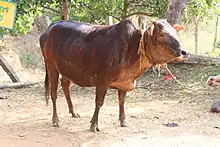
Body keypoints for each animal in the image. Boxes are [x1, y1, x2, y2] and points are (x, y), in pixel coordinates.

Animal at [40, 18, 188, 132]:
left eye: (175, 32)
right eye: (162, 34)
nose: (183, 52)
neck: (131, 48)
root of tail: (51, 27)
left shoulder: (124, 83)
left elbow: (122, 102)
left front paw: (123, 121)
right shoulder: (102, 82)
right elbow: (99, 103)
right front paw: (94, 125)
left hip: (67, 69)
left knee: (65, 85)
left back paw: (73, 112)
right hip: (51, 65)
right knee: (53, 93)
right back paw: (55, 120)